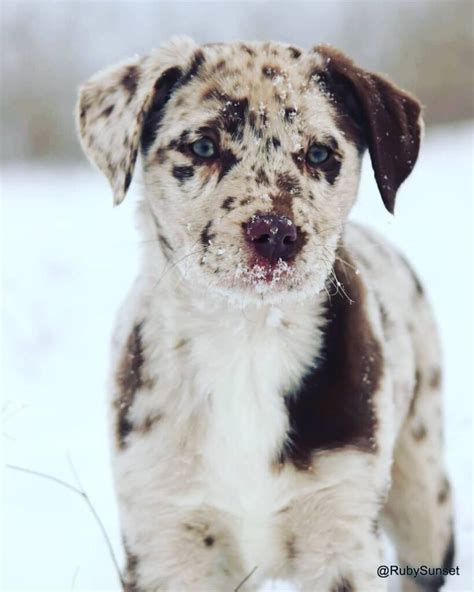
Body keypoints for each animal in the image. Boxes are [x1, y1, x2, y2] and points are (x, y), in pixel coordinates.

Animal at [76, 38, 454, 592]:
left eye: (319, 154)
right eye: (202, 147)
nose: (275, 231)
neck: (247, 341)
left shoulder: (342, 526)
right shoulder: (165, 533)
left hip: (424, 492)